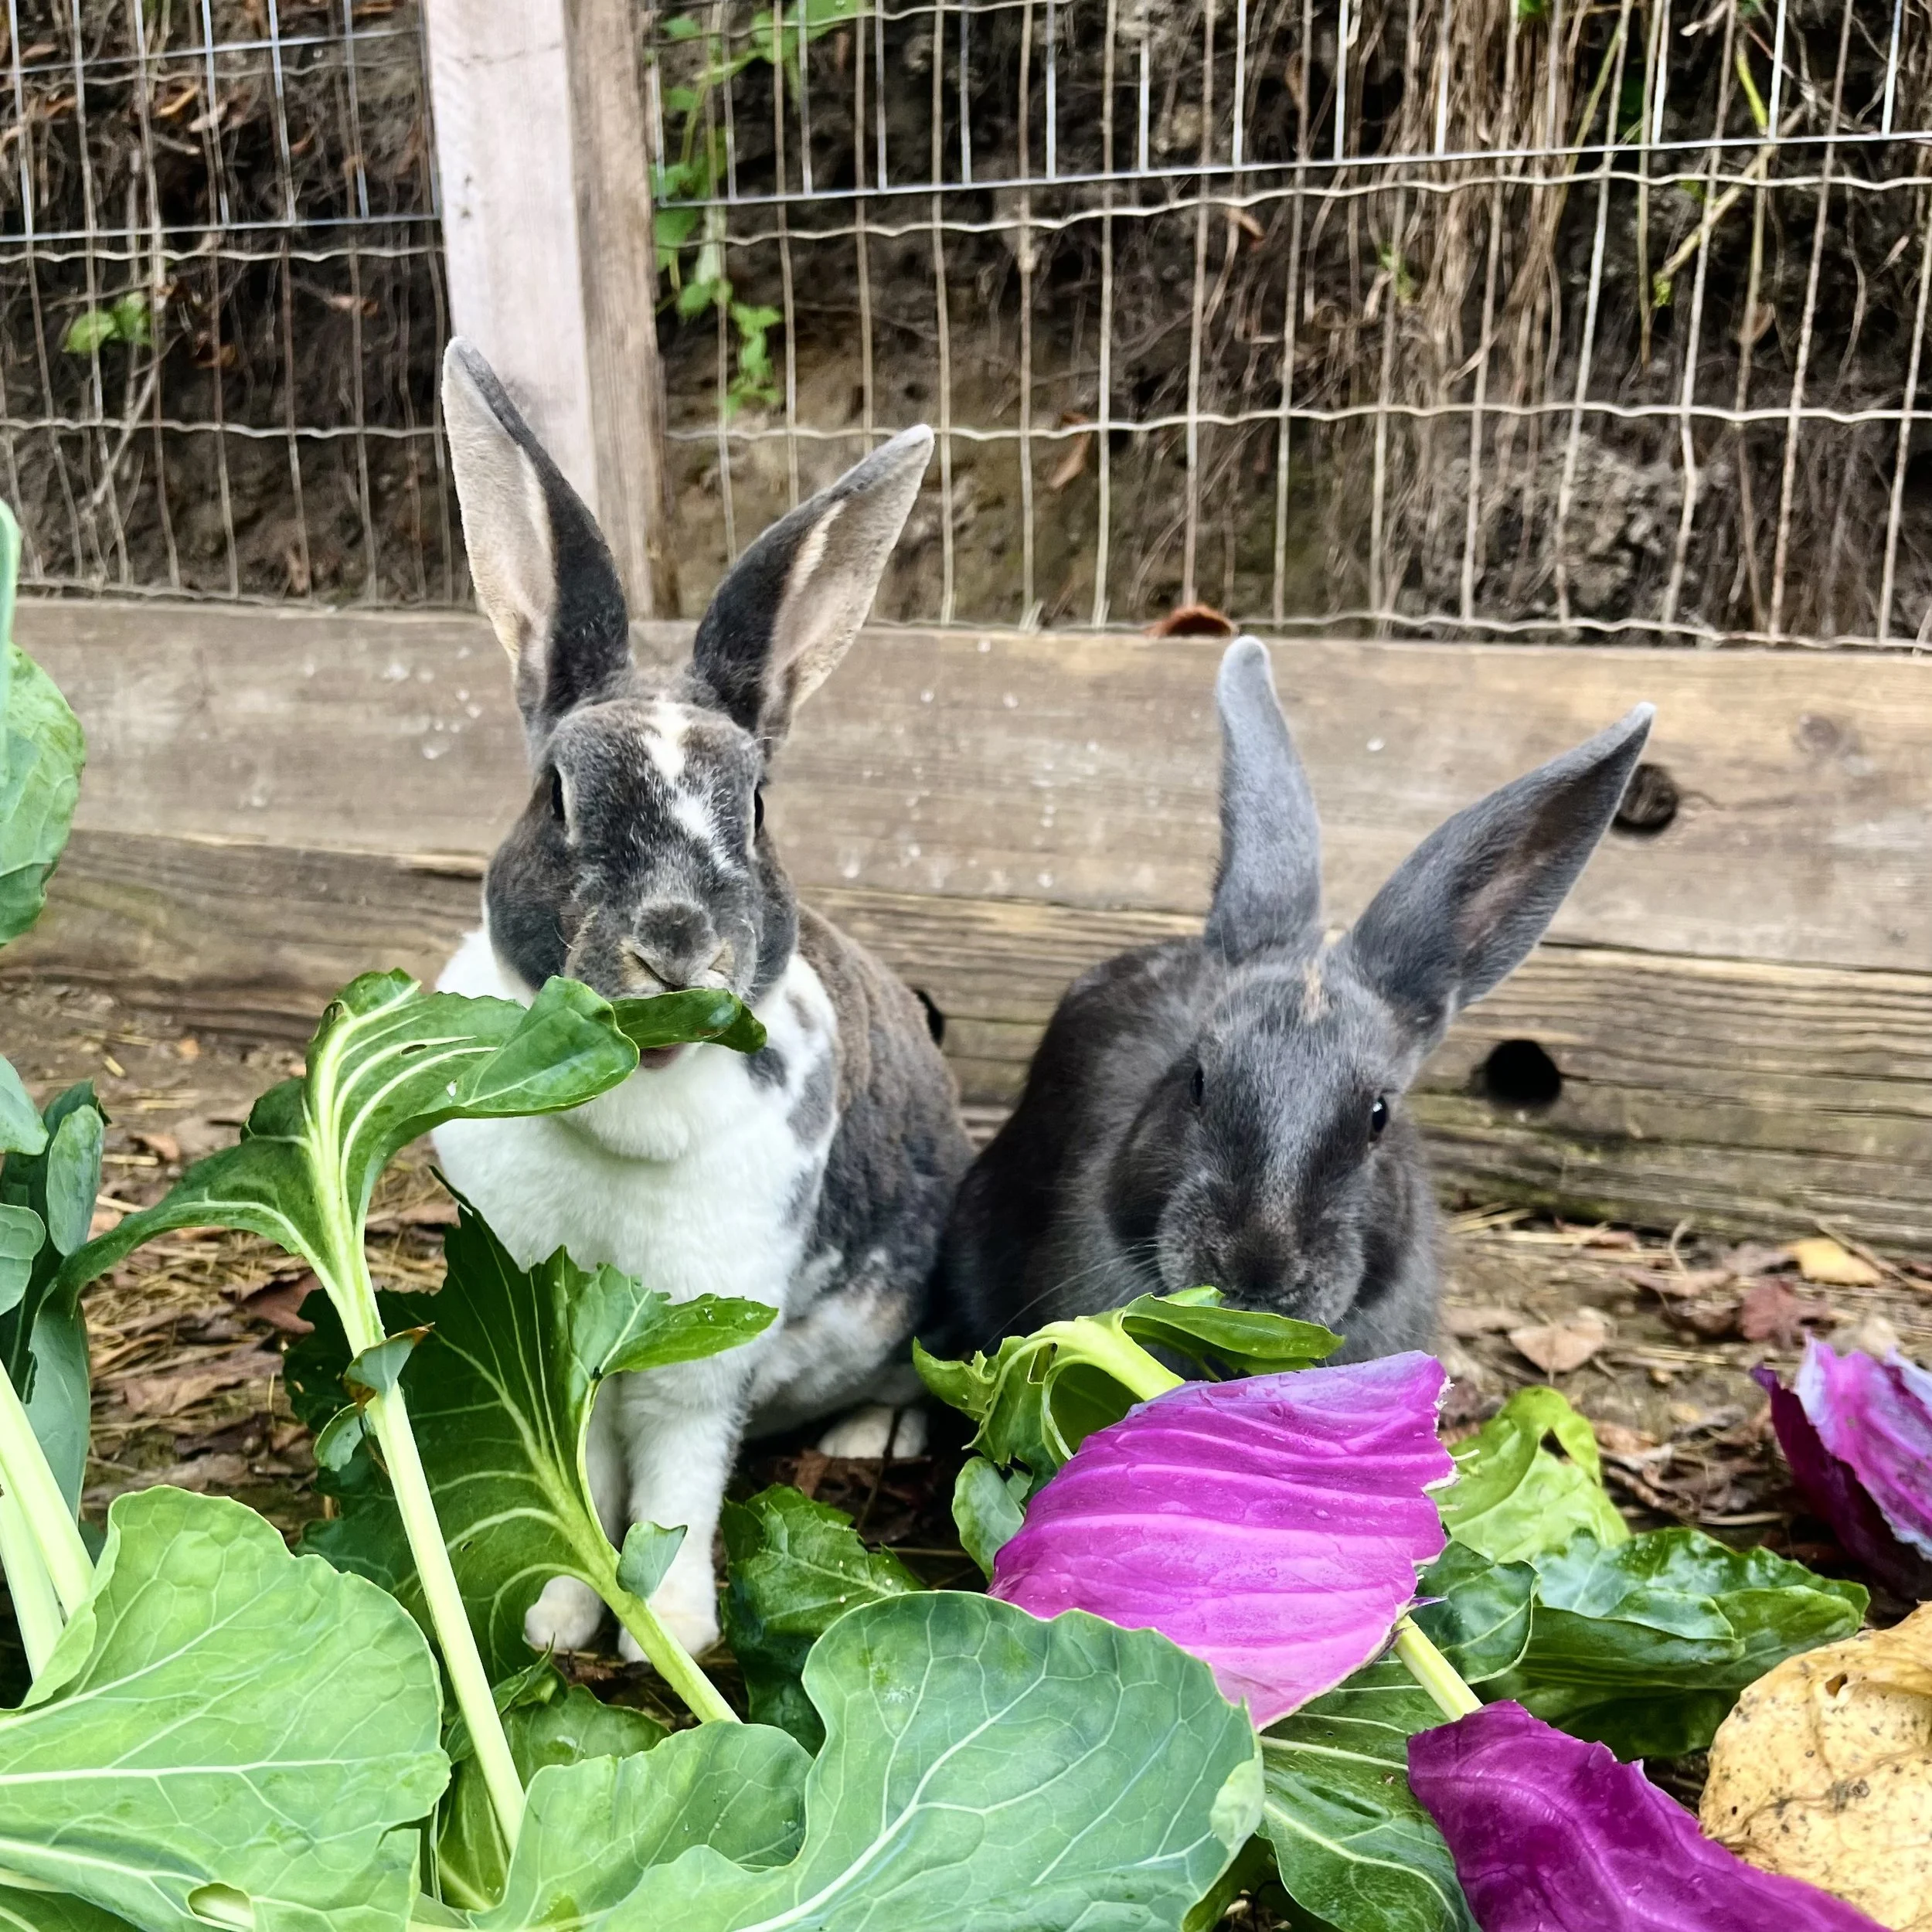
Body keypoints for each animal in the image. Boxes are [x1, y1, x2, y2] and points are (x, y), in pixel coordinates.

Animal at [430, 340, 973, 1658]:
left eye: (760, 807)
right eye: (557, 797)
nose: (678, 942)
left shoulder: (699, 1349)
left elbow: (676, 1475)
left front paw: (669, 1631)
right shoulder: (558, 1338)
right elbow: (585, 1471)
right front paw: (560, 1617)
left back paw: (868, 1432)